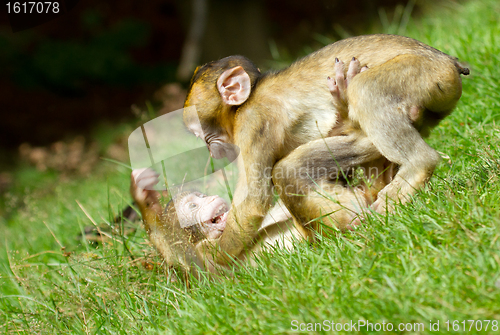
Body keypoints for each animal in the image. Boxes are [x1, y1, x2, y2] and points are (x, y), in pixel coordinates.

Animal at [184, 34, 468, 266]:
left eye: (203, 135)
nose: (212, 153)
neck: (248, 99)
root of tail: (447, 60)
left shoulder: (252, 123)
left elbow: (253, 201)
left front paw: (213, 255)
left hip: (424, 72)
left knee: (364, 90)